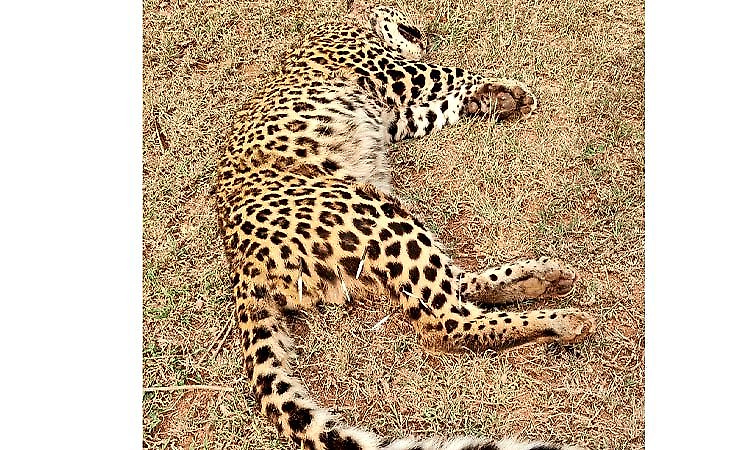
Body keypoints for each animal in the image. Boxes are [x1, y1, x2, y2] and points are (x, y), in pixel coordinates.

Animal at [216, 6, 596, 450]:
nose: (425, 35)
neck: (354, 20)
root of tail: (241, 265)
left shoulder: (397, 115)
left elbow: (437, 108)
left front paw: (494, 100)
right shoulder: (393, 71)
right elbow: (449, 72)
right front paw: (498, 91)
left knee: (455, 286)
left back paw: (543, 278)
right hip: (377, 215)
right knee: (446, 324)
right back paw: (565, 320)